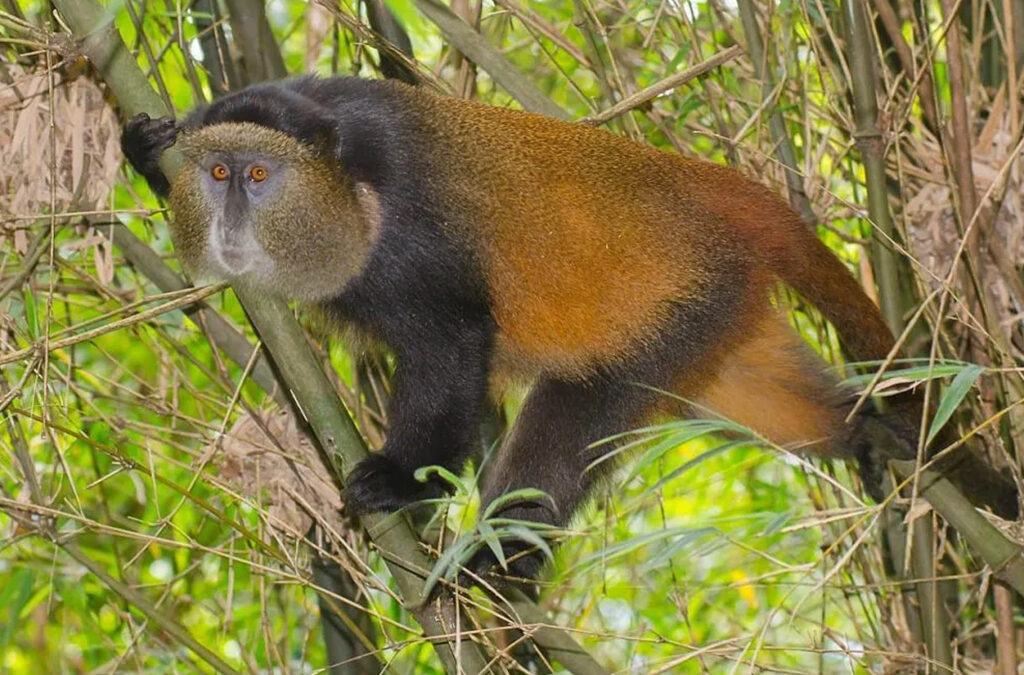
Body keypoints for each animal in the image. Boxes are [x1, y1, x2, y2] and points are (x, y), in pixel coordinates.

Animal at [121, 75, 1019, 581]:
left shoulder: (411, 238)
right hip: (717, 320)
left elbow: (453, 348)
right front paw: (144, 145)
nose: (230, 218)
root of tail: (724, 191)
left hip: (675, 311)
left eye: (258, 175)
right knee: (772, 399)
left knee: (568, 426)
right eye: (216, 172)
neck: (341, 178)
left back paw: (496, 565)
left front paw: (403, 481)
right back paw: (866, 430)